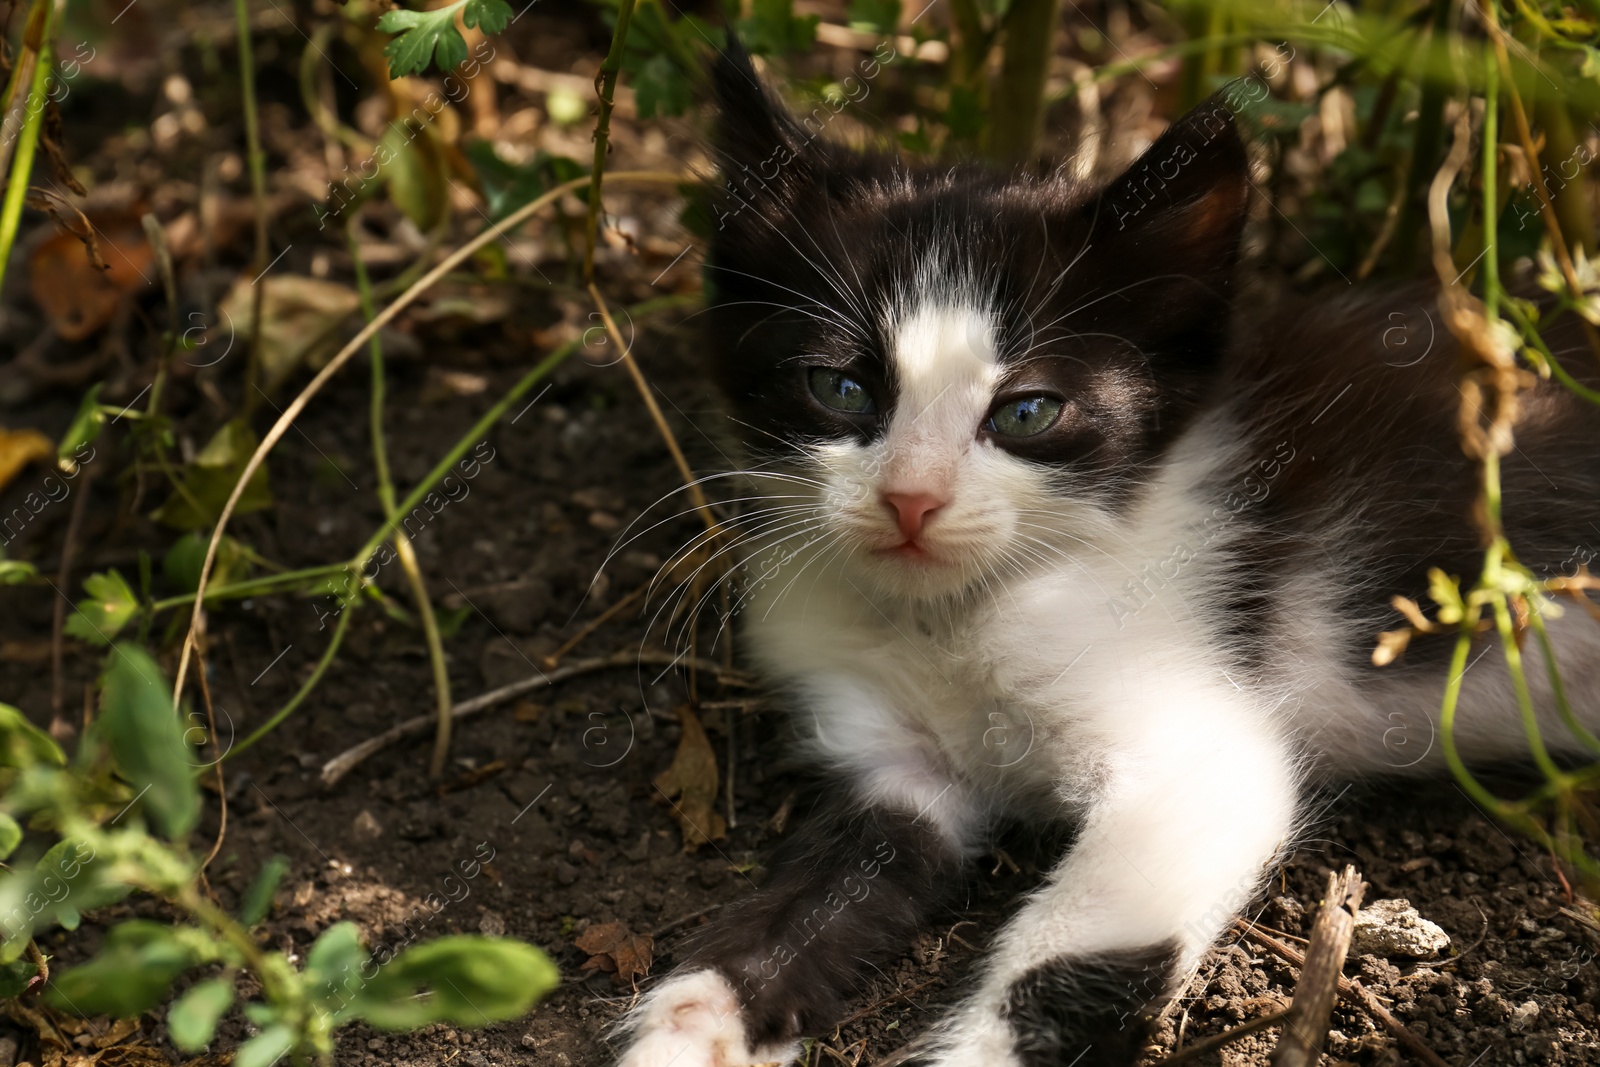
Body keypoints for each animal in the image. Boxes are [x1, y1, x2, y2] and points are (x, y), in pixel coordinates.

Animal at [611, 43, 1600, 1067]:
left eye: (1028, 411)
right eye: (839, 387)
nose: (913, 498)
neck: (959, 614)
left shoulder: (1204, 755)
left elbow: (1071, 957)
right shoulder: (895, 770)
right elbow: (814, 895)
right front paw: (698, 1017)